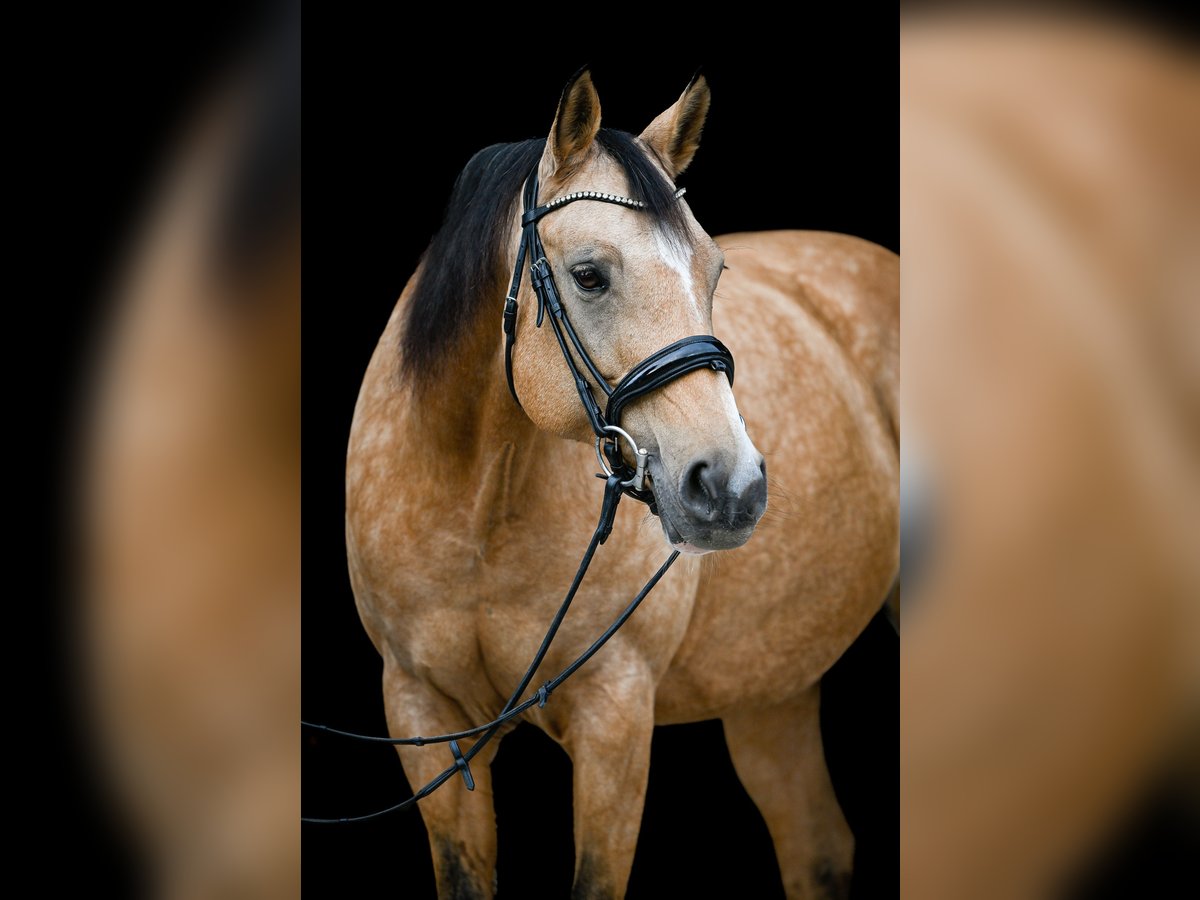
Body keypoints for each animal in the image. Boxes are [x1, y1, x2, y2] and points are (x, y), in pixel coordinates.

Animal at [343, 72, 897, 900]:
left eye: (713, 269)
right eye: (589, 275)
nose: (732, 487)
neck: (477, 511)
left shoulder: (615, 717)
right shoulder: (422, 714)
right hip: (772, 687)